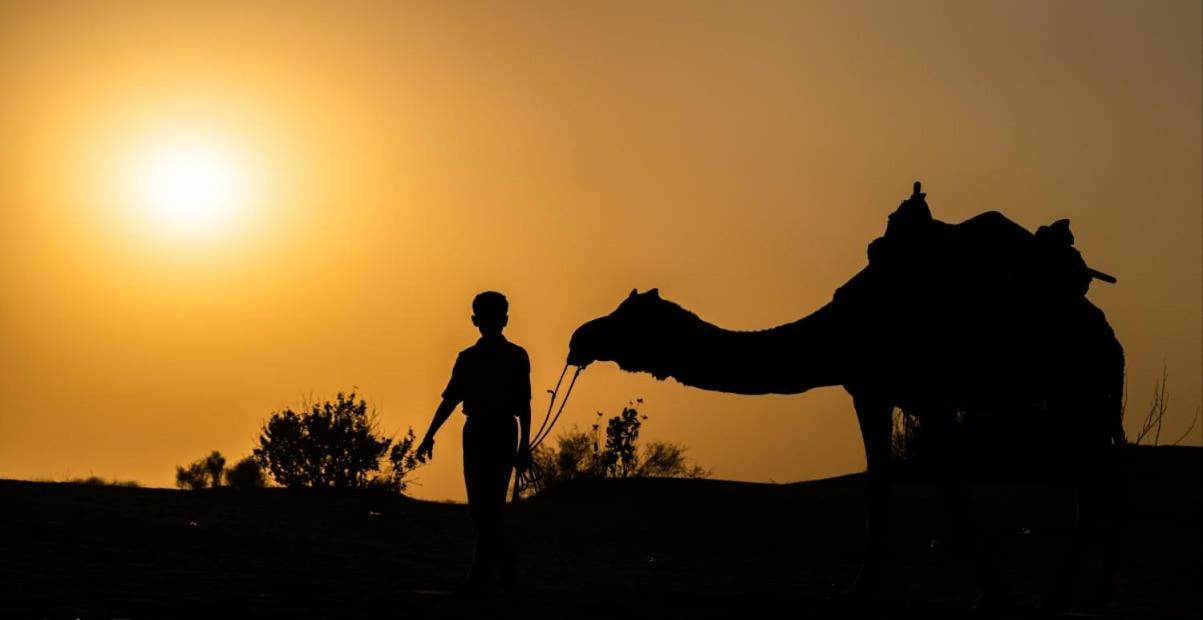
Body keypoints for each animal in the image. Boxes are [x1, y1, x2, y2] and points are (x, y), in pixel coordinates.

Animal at [563, 187, 1126, 611]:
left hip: (1079, 389)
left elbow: (950, 491)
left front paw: (992, 594)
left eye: (627, 316)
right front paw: (859, 589)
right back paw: (1089, 595)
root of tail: (1104, 329)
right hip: (1075, 398)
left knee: (1092, 480)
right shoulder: (869, 392)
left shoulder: (934, 398)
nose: (579, 337)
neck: (841, 331)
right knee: (1095, 480)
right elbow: (878, 490)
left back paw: (1066, 596)